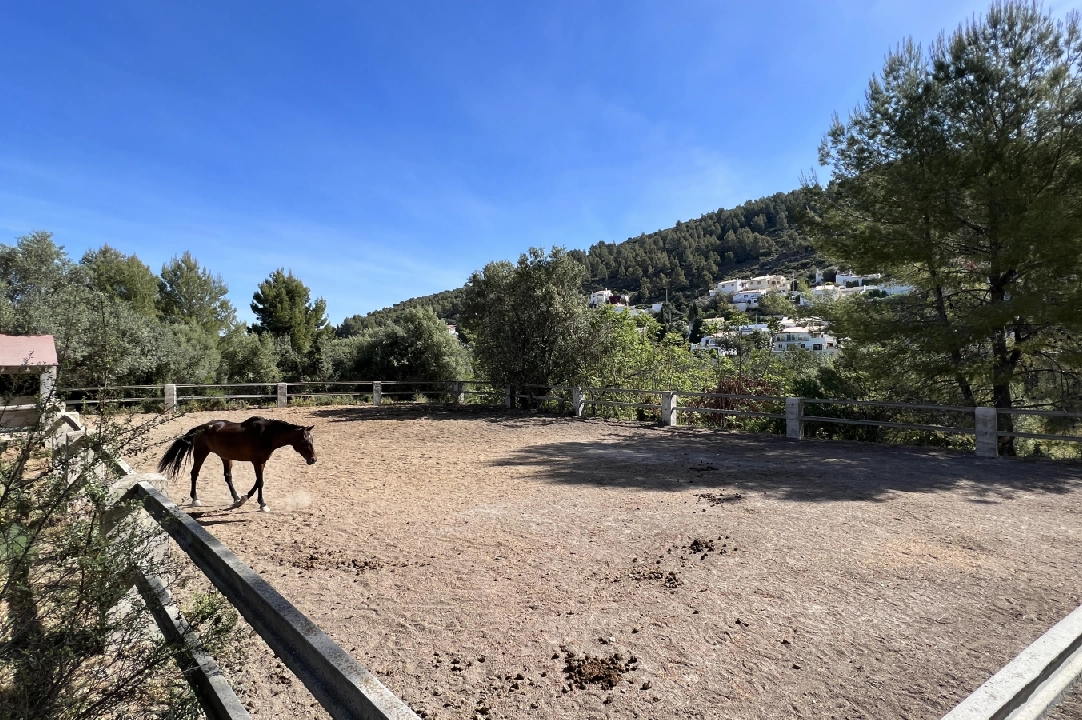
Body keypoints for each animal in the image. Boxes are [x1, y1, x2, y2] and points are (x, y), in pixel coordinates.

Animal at [156, 415, 315, 511]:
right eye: (305, 441)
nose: (313, 459)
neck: (266, 434)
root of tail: (203, 427)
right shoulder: (257, 462)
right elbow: (260, 482)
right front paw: (262, 504)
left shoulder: (261, 462)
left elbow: (258, 482)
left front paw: (243, 499)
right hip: (201, 454)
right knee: (194, 473)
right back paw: (195, 499)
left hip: (226, 457)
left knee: (228, 477)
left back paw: (235, 497)